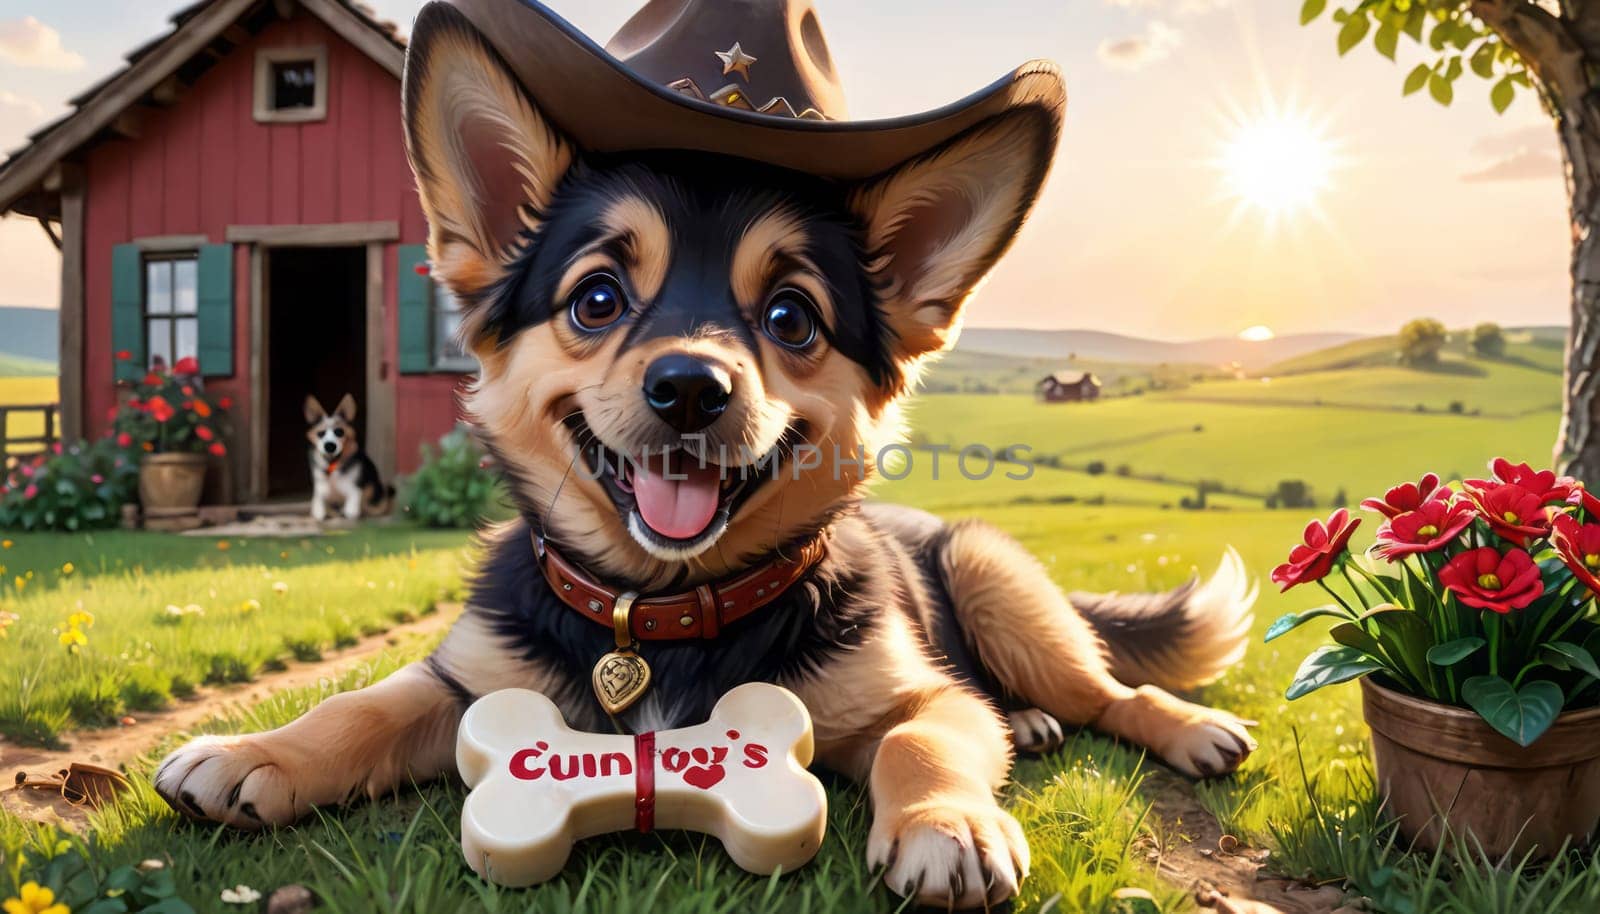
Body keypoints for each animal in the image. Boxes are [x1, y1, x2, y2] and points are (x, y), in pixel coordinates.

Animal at [305, 393, 393, 521]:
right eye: (320, 433)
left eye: (339, 432)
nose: (330, 446)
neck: (332, 463)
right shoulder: (321, 489)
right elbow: (319, 505)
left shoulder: (354, 488)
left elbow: (351, 508)